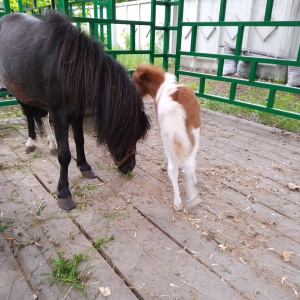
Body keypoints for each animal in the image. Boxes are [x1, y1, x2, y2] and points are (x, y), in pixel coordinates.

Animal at [0, 12, 150, 211]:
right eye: (129, 135)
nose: (130, 167)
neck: (73, 69)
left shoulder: (77, 113)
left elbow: (80, 140)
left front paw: (84, 166)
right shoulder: (60, 115)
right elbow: (65, 156)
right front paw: (64, 192)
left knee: (41, 116)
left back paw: (51, 144)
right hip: (19, 91)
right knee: (28, 115)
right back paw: (31, 142)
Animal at [132, 63, 200, 210]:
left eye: (134, 81)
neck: (162, 85)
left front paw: (163, 164)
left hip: (169, 135)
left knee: (173, 168)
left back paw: (178, 202)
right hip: (194, 135)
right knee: (190, 162)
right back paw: (193, 198)